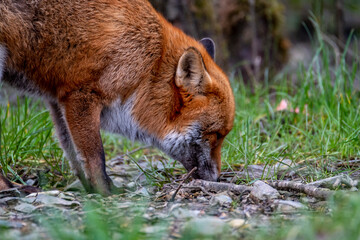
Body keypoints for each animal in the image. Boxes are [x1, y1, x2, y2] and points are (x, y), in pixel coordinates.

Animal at [0, 0, 235, 195]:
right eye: (216, 136)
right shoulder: (81, 95)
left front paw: (88, 188)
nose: (217, 179)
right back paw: (9, 188)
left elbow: (74, 155)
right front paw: (104, 191)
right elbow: (95, 156)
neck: (149, 62)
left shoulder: (59, 101)